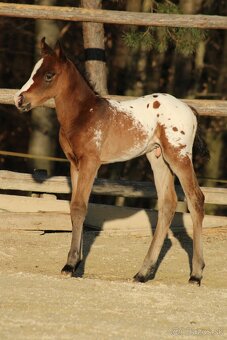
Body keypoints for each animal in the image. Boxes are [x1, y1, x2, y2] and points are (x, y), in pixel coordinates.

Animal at [14, 38, 206, 284]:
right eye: (33, 71)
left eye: (49, 75)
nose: (19, 99)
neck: (84, 114)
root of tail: (189, 109)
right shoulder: (74, 164)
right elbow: (76, 208)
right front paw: (77, 263)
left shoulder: (90, 163)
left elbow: (79, 206)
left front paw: (70, 265)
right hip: (158, 159)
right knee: (168, 204)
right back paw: (143, 273)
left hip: (179, 156)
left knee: (195, 199)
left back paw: (195, 274)